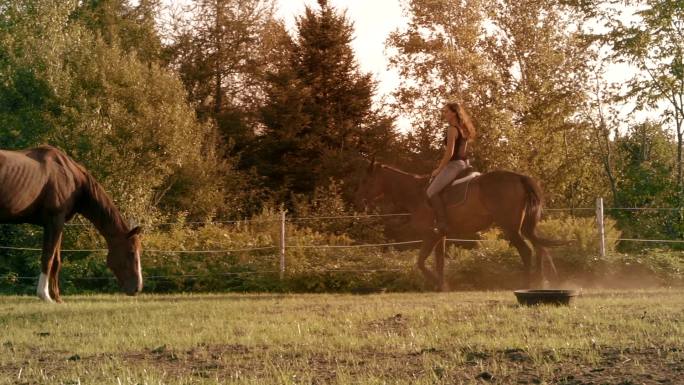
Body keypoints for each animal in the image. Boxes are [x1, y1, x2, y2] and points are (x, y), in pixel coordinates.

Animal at [0, 146, 142, 302]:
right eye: (131, 252)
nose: (137, 288)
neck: (71, 177)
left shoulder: (59, 223)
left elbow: (56, 261)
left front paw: (57, 298)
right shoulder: (54, 221)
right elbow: (48, 257)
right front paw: (45, 296)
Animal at [356, 160, 564, 290]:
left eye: (366, 180)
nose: (360, 203)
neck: (416, 193)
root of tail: (518, 177)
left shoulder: (430, 234)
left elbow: (421, 262)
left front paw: (439, 284)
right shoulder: (440, 236)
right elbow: (439, 262)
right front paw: (441, 286)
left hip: (510, 228)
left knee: (527, 251)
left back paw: (526, 285)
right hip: (524, 228)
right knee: (540, 248)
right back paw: (542, 282)